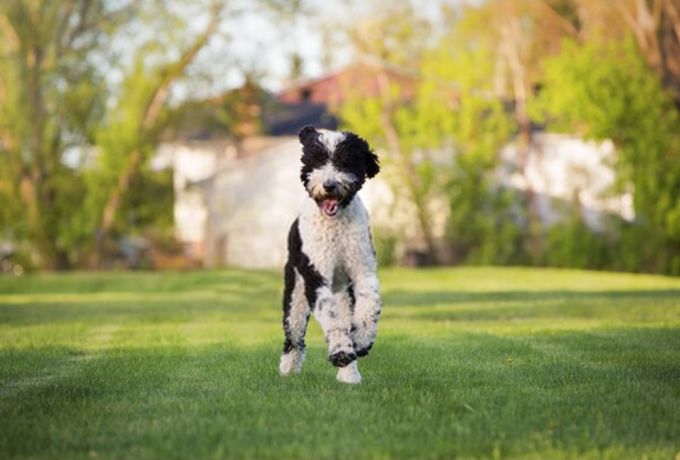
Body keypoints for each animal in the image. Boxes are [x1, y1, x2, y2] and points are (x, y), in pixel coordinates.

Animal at [278, 126, 382, 384]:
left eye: (346, 161)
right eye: (317, 159)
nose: (329, 185)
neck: (335, 226)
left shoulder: (363, 270)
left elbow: (370, 304)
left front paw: (361, 341)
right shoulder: (316, 275)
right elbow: (330, 316)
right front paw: (341, 352)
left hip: (343, 294)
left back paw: (349, 375)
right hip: (295, 295)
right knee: (294, 337)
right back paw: (288, 370)